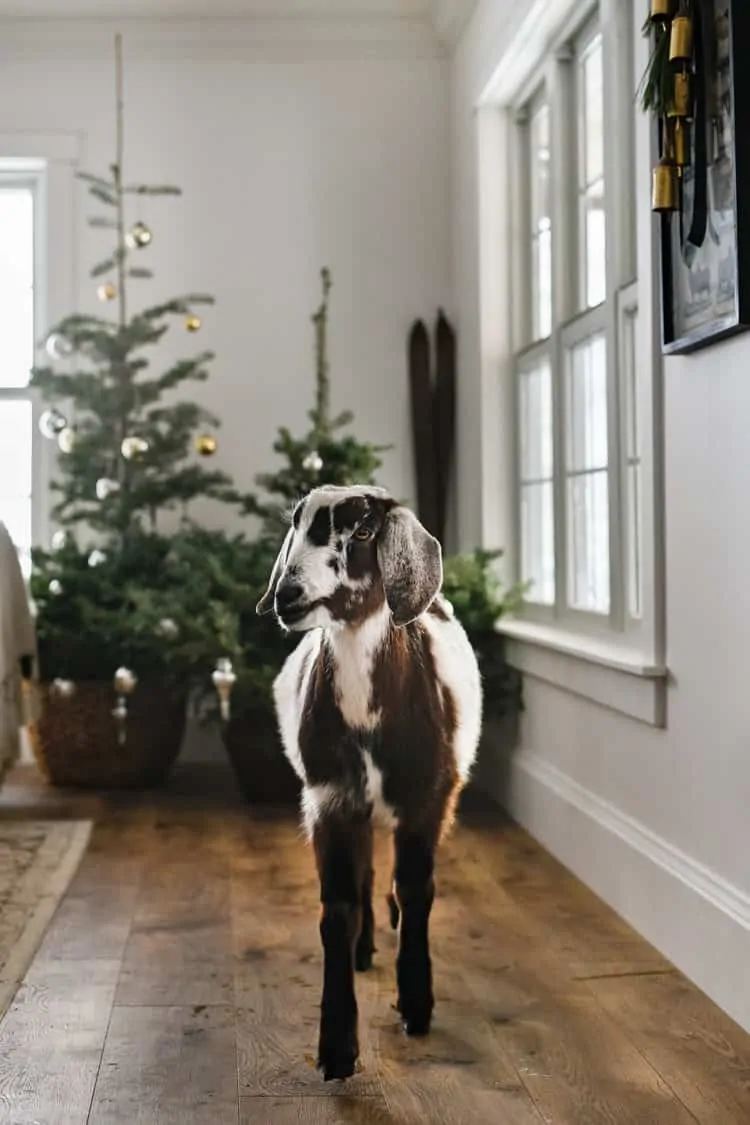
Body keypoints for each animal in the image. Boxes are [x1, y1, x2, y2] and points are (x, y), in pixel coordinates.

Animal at [256, 483, 481, 1080]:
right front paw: (336, 1048)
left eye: (362, 530)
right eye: (296, 524)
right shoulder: (328, 800)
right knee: (365, 873)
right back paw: (363, 949)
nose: (288, 593)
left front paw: (417, 1004)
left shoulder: (429, 798)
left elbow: (418, 889)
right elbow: (336, 911)